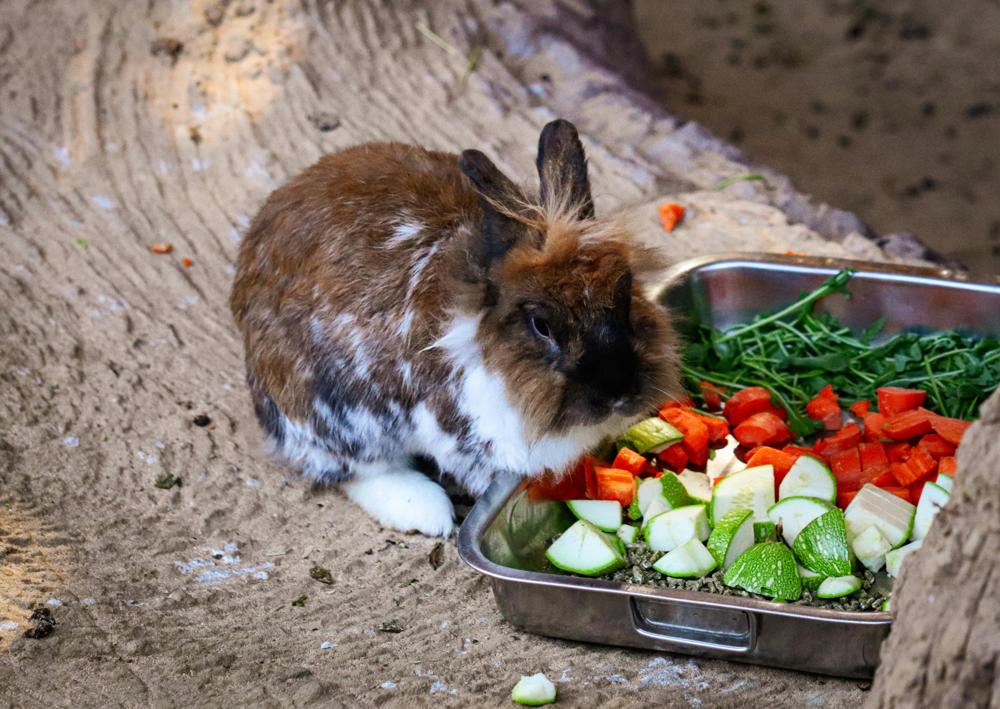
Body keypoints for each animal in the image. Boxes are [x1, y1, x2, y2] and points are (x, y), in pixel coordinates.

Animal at [230, 119, 681, 537]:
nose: (618, 393)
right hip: (334, 414)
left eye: (626, 293)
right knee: (353, 469)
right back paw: (427, 513)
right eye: (542, 325)